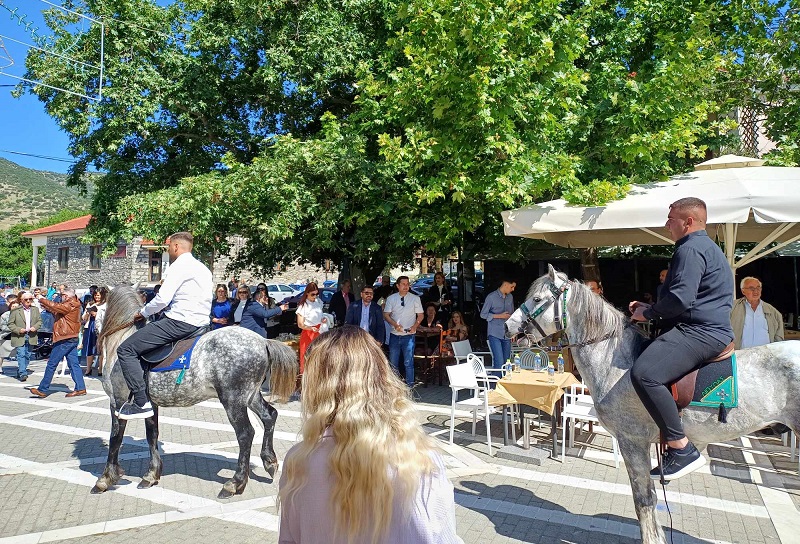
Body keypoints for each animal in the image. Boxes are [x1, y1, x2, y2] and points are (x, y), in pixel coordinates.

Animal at [90, 286, 296, 500]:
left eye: (96, 306)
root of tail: (262, 341)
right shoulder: (149, 404)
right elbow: (151, 435)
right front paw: (151, 475)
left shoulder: (117, 401)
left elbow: (115, 438)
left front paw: (105, 479)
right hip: (251, 396)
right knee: (269, 416)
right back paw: (269, 461)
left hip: (233, 400)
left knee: (245, 434)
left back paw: (235, 483)